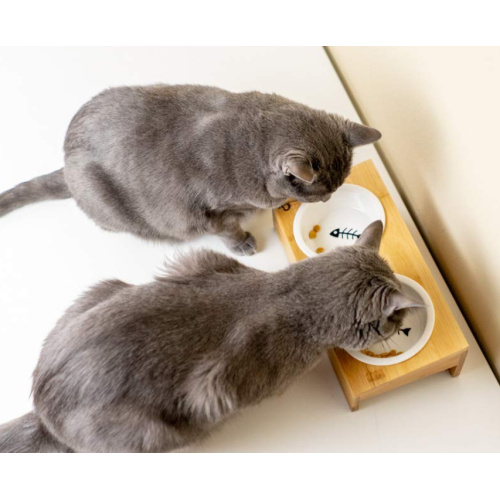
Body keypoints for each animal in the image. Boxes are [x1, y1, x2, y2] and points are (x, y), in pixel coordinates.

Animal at [0, 85, 378, 254]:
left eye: (337, 187)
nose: (328, 199)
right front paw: (244, 242)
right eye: (322, 192)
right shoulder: (207, 211)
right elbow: (226, 229)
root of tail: (66, 161)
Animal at [0, 221, 420, 452]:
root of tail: (42, 411)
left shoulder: (205, 260)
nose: (400, 325)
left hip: (100, 289)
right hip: (149, 431)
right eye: (394, 321)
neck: (289, 293)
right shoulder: (224, 387)